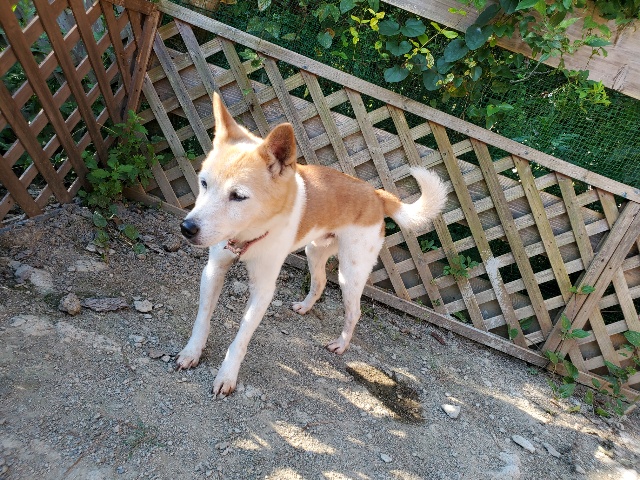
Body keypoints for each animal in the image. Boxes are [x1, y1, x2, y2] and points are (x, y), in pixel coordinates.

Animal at [177, 92, 447, 398]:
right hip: (314, 251)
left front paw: (226, 376)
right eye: (204, 183)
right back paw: (305, 307)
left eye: (238, 196)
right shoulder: (213, 270)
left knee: (354, 310)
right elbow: (202, 319)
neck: (247, 236)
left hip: (351, 273)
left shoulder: (263, 289)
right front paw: (191, 352)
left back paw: (341, 344)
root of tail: (377, 195)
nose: (187, 228)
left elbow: (240, 339)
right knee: (318, 283)